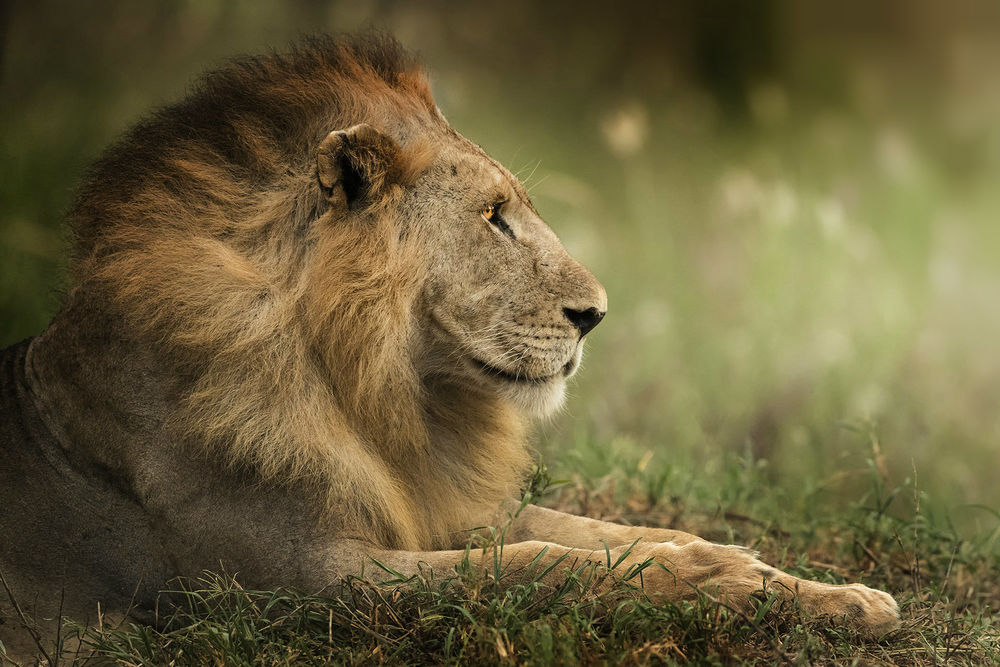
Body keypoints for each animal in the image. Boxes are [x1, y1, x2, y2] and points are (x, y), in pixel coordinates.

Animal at [0, 35, 898, 661]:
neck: (374, 392)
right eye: (494, 215)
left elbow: (590, 530)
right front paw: (723, 579)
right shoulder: (298, 582)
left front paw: (813, 588)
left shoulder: (439, 506)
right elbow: (537, 564)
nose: (597, 314)